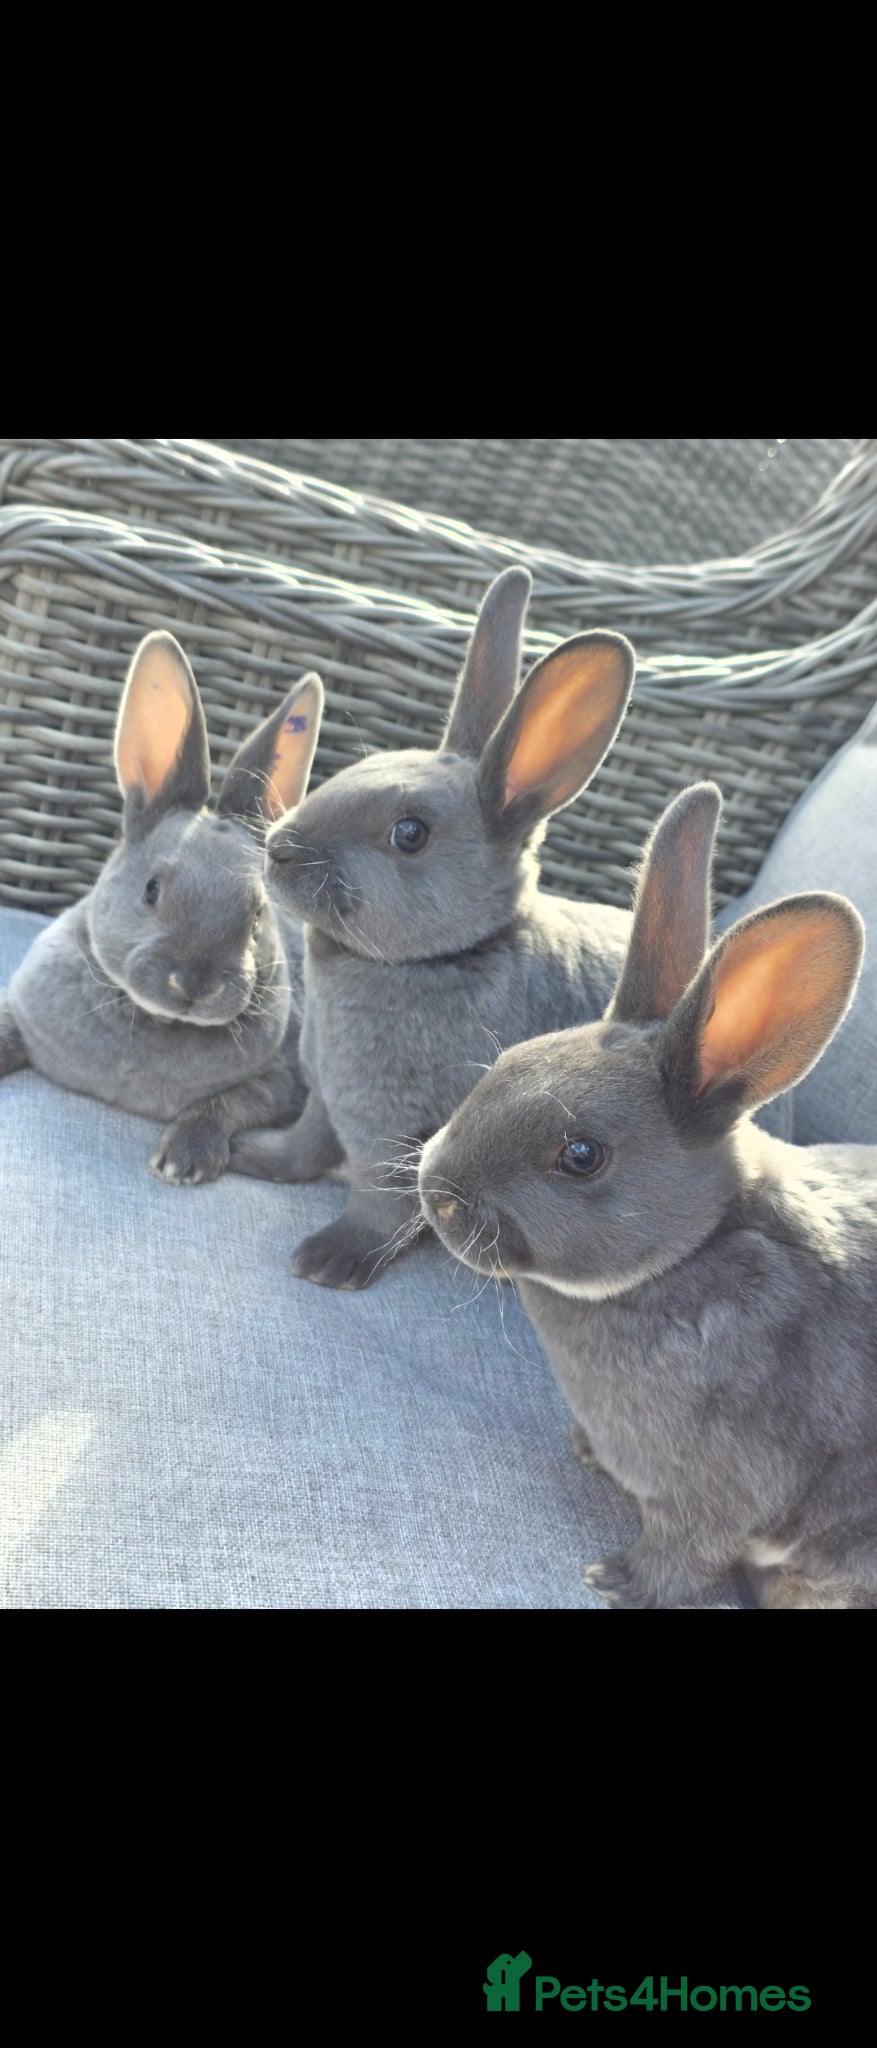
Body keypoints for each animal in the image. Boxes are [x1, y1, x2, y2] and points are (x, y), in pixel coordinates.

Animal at [0, 629, 324, 1183]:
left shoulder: (285, 1082)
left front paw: (183, 1159)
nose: (195, 984)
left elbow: (233, 1102)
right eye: (151, 890)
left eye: (258, 915)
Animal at [228, 566, 638, 1289]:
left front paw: (328, 1262)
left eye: (410, 834)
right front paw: (257, 1156)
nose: (278, 849)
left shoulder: (398, 1138)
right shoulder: (325, 1099)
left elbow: (379, 1205)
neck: (439, 959)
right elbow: (305, 1145)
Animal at [418, 779, 877, 1611]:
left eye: (580, 1156)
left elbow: (683, 1553)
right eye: (505, 1062)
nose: (434, 1194)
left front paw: (615, 1581)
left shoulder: (715, 1495)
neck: (689, 1255)